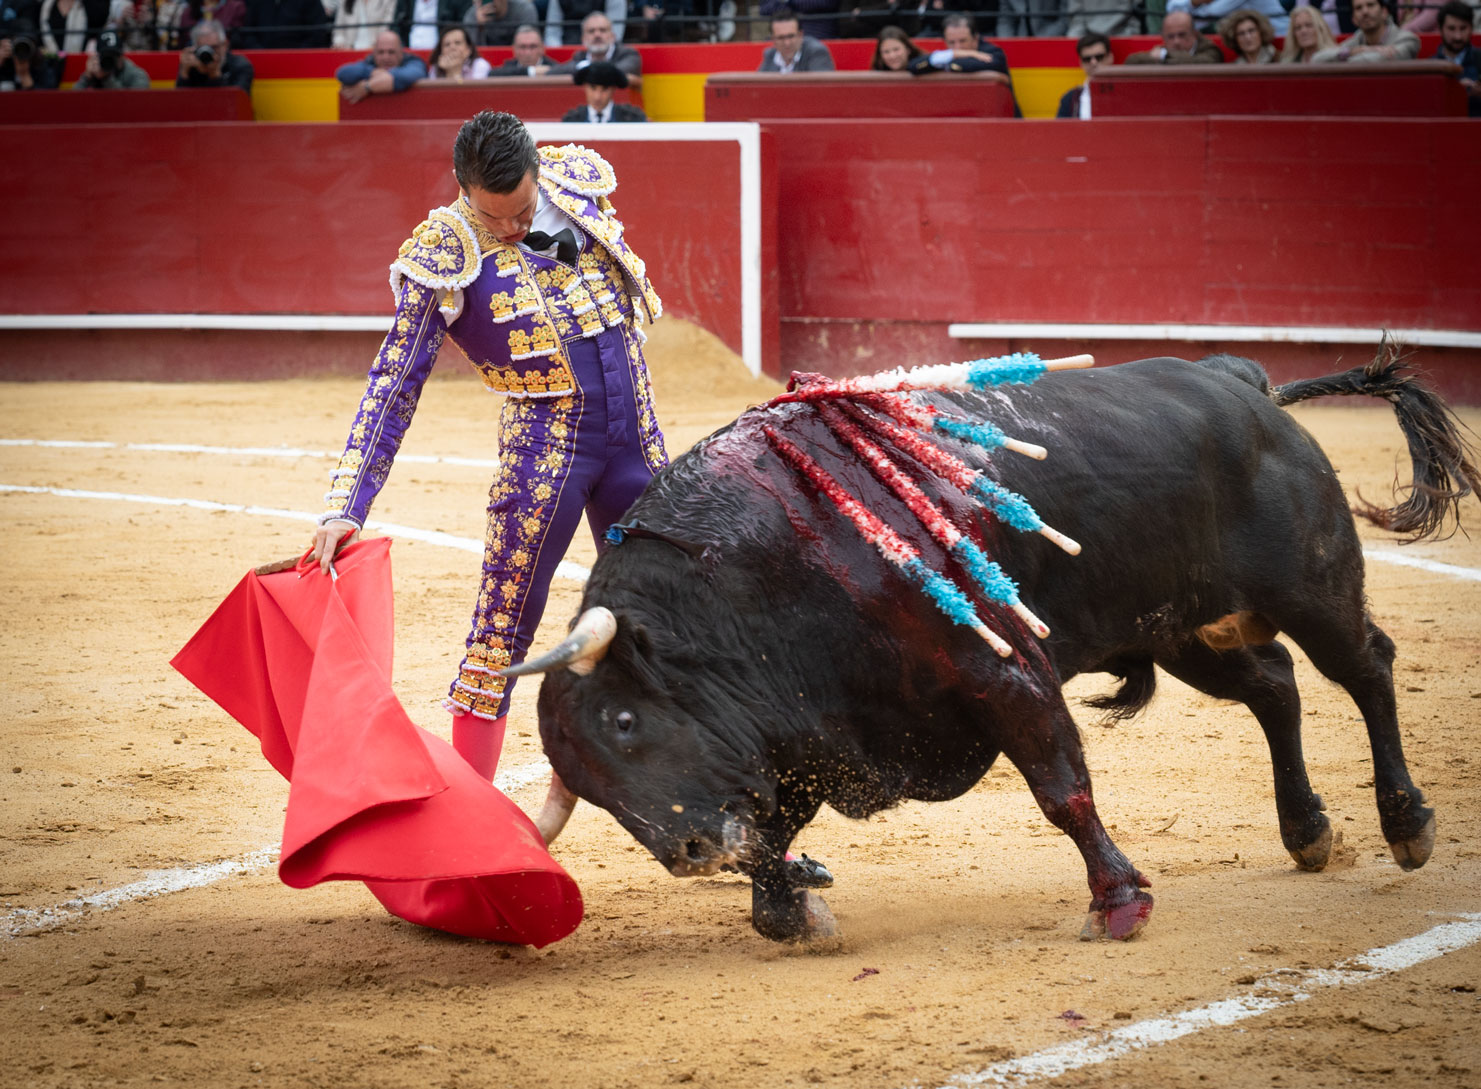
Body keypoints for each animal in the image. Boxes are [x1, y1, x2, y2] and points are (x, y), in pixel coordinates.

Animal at [507, 352, 1479, 944]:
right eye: (590, 786)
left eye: (624, 721)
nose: (688, 853)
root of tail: (1236, 378)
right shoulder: (803, 729)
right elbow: (774, 834)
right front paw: (794, 914)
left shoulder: (1003, 667)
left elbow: (1060, 788)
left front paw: (1120, 902)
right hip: (1181, 629)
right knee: (1275, 685)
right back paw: (1308, 831)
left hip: (1308, 590)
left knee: (1365, 669)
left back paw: (1407, 825)